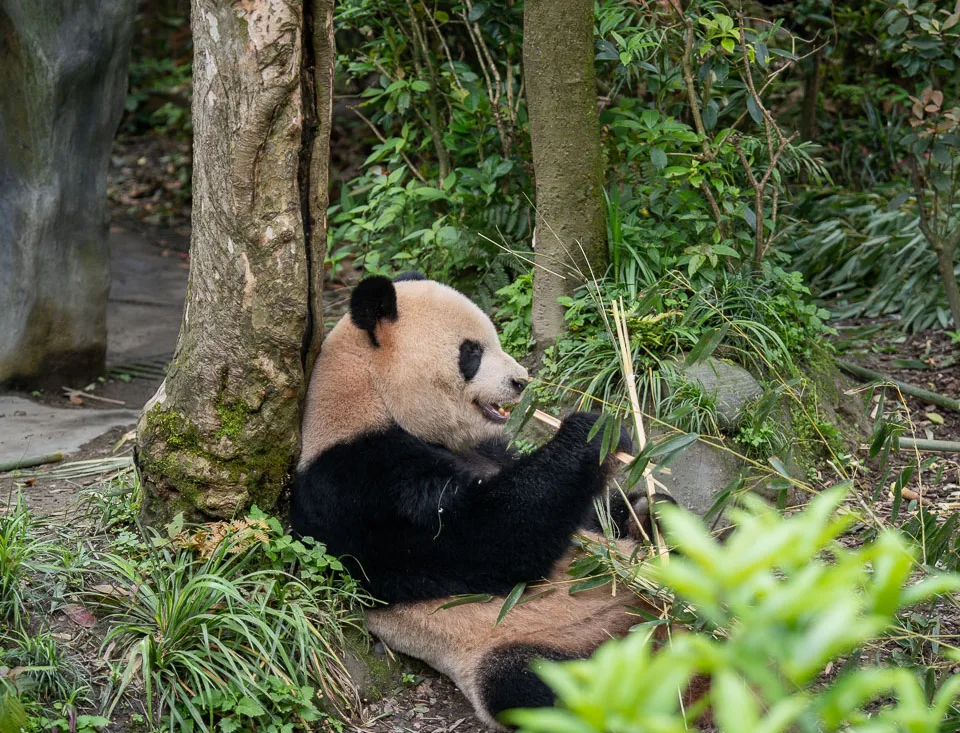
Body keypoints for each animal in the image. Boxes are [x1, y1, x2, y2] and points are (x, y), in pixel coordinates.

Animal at [292, 272, 664, 729]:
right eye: (471, 352)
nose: (521, 381)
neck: (368, 397)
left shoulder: (490, 449)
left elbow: (578, 514)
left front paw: (641, 504)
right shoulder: (359, 485)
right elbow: (488, 538)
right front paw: (593, 432)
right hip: (538, 645)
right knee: (547, 686)